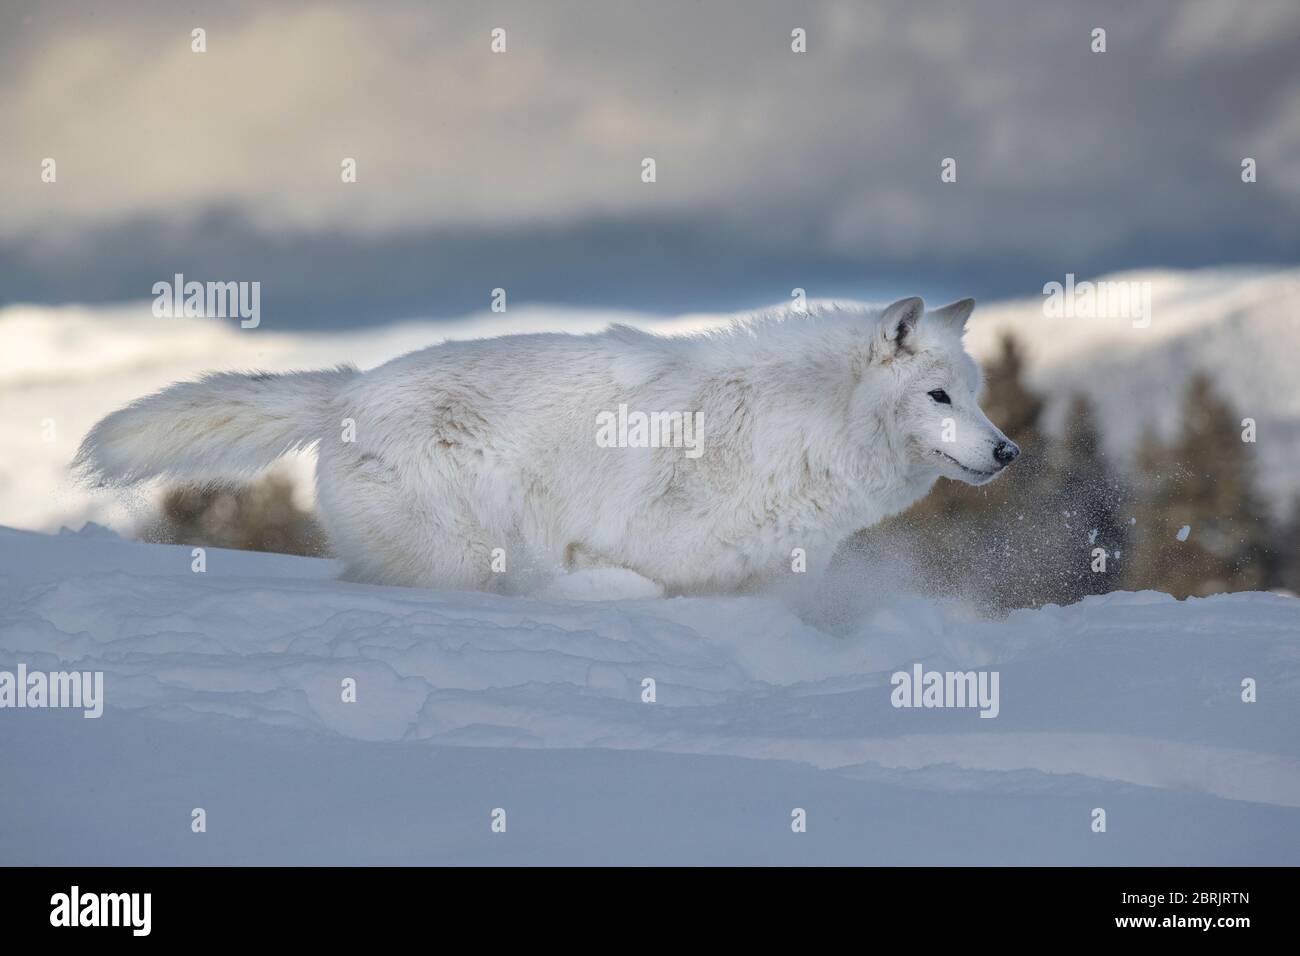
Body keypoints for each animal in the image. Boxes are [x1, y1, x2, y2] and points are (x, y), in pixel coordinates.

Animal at [75, 296, 1019, 594]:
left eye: (975, 396)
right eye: (937, 397)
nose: (1009, 453)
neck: (805, 422)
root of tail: (348, 386)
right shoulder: (630, 548)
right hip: (464, 557)